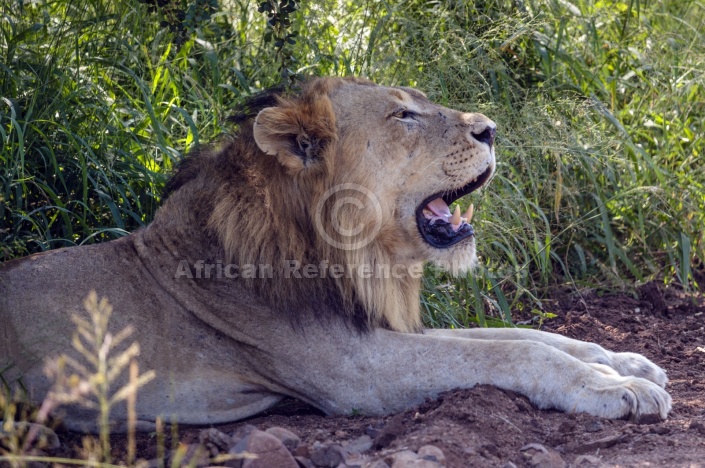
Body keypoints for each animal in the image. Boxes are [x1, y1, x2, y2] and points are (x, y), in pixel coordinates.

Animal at [0, 77, 672, 432]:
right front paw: (614, 389)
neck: (361, 259)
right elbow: (515, 353)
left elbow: (520, 335)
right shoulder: (357, 372)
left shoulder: (375, 329)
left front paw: (626, 362)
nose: (491, 129)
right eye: (404, 114)